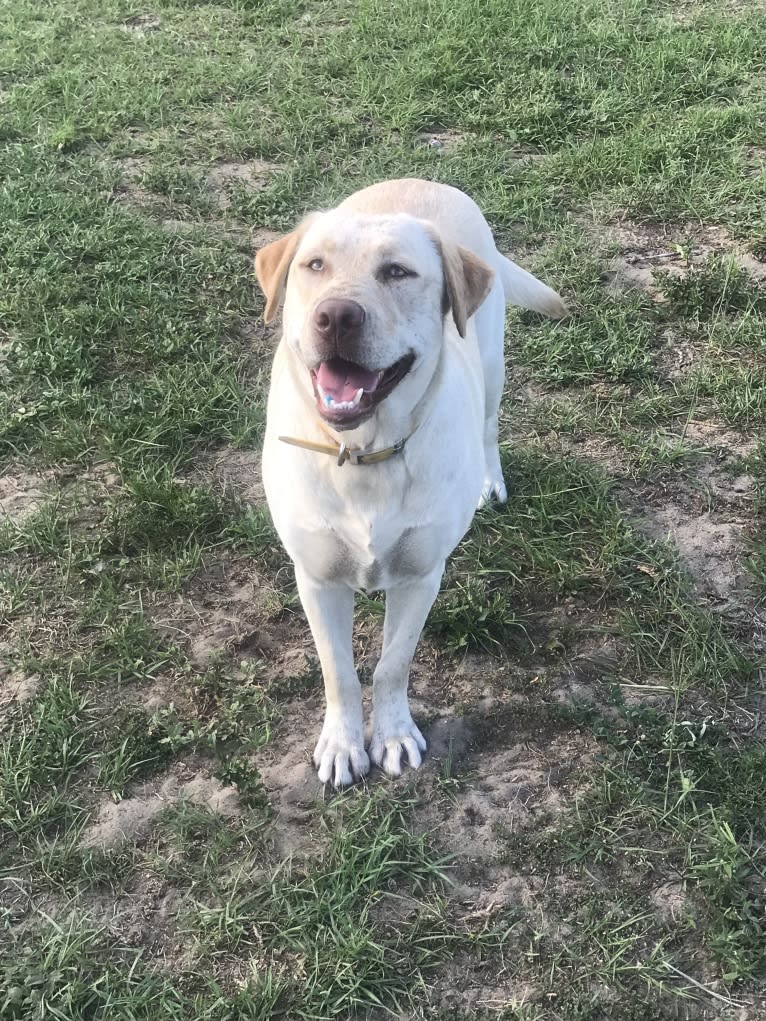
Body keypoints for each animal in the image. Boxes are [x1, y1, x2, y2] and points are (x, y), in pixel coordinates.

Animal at [255, 181, 567, 788]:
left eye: (398, 272)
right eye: (314, 265)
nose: (335, 316)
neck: (364, 454)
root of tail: (427, 182)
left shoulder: (422, 576)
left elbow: (390, 665)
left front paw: (393, 735)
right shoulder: (315, 579)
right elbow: (340, 672)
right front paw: (342, 744)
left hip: (492, 363)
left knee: (489, 425)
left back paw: (489, 481)